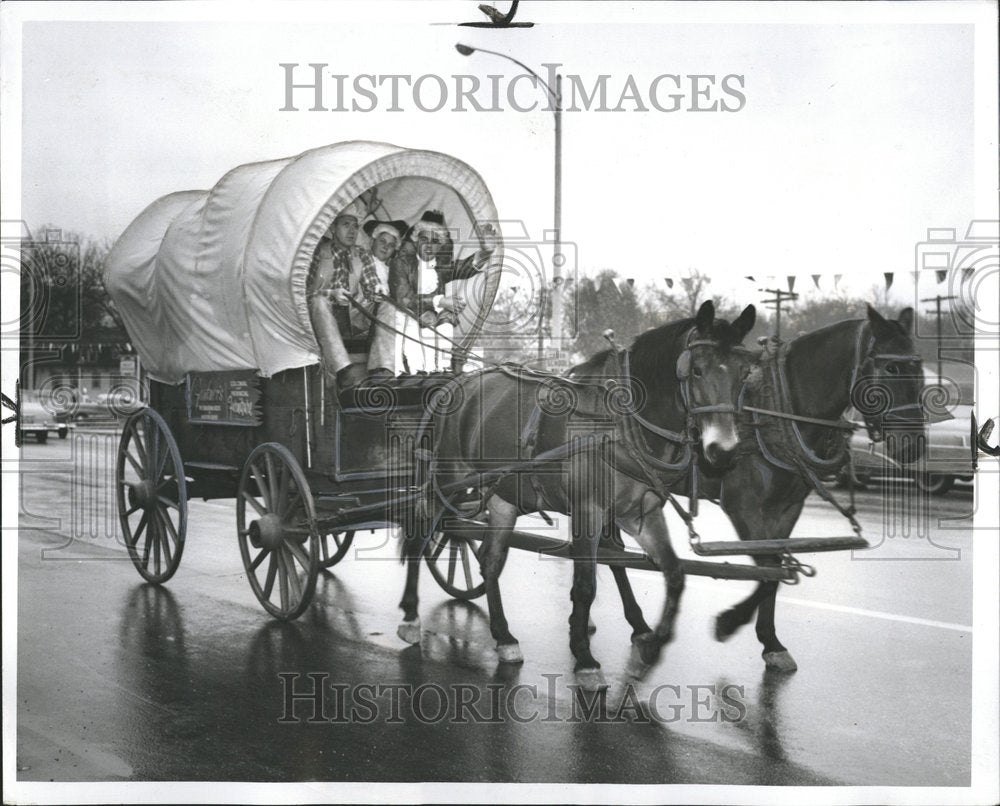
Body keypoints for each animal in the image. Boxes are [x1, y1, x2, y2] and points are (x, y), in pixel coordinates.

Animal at [394, 300, 752, 692]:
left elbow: (673, 574)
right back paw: (410, 617)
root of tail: (458, 382)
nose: (724, 451)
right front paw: (584, 658)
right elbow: (585, 586)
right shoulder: (587, 512)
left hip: (504, 496)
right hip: (447, 481)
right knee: (419, 538)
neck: (621, 423)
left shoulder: (640, 513)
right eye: (697, 370)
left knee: (490, 560)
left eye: (744, 373)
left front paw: (647, 653)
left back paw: (504, 637)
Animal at [616, 306, 928, 672]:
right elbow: (767, 566)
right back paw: (637, 625)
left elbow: (776, 566)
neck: (779, 410)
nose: (913, 445)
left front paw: (770, 642)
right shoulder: (743, 506)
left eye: (919, 367)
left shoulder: (787, 507)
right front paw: (730, 622)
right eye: (891, 367)